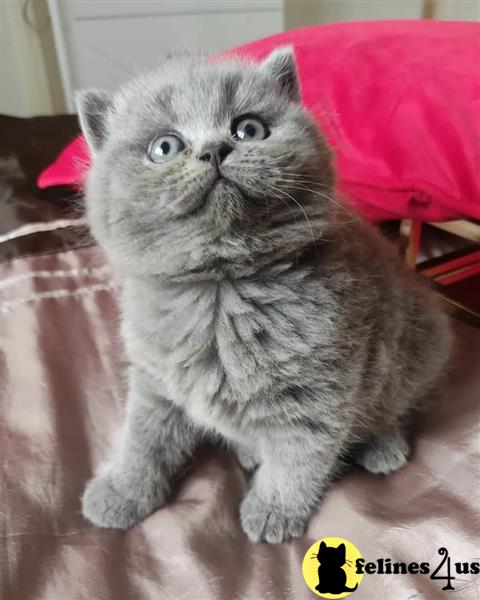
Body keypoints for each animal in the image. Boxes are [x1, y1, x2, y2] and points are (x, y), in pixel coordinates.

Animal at [77, 47, 452, 544]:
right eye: (165, 147)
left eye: (249, 129)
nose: (215, 149)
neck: (219, 291)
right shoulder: (156, 381)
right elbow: (143, 438)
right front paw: (122, 491)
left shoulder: (318, 387)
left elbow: (298, 455)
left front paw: (273, 510)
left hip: (416, 347)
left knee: (394, 405)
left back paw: (383, 446)